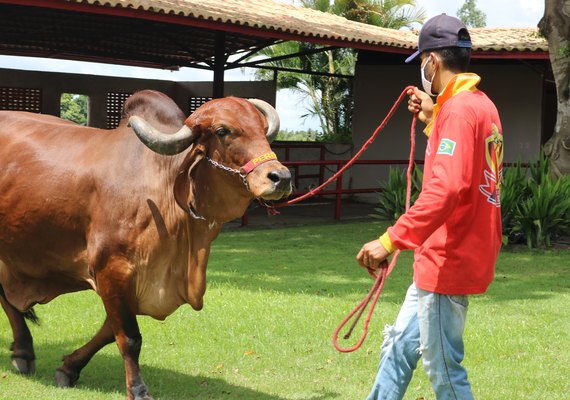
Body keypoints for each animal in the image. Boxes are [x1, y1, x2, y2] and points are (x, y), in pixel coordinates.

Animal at [0, 89, 290, 398]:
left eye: (262, 127)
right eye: (223, 131)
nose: (280, 177)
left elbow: (110, 331)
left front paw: (69, 367)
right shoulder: (111, 269)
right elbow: (128, 337)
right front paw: (138, 389)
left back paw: (23, 351)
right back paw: (23, 352)